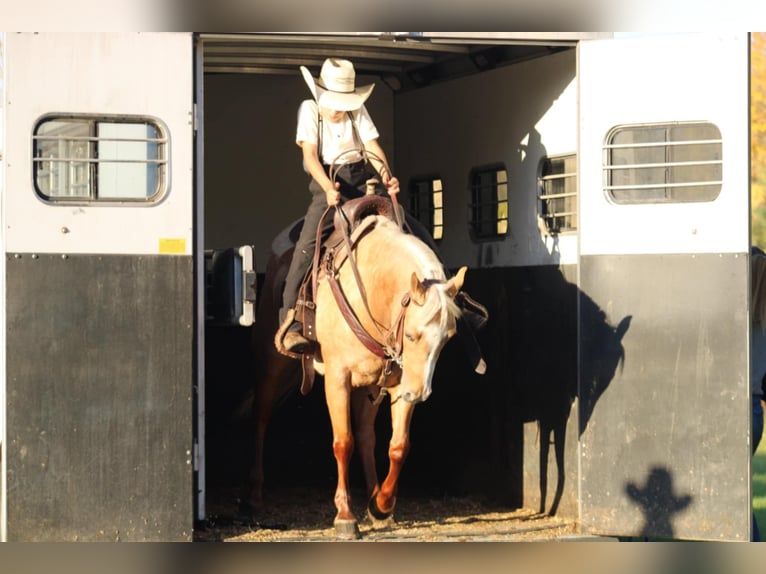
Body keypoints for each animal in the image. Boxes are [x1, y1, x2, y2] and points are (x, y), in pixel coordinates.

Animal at [243, 206, 472, 540]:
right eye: (412, 335)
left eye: (448, 337)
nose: (419, 394)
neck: (372, 293)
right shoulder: (338, 379)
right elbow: (343, 442)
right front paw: (345, 515)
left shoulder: (397, 385)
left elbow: (398, 446)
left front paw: (382, 505)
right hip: (271, 364)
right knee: (261, 417)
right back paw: (256, 494)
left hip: (370, 388)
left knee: (366, 435)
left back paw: (375, 498)